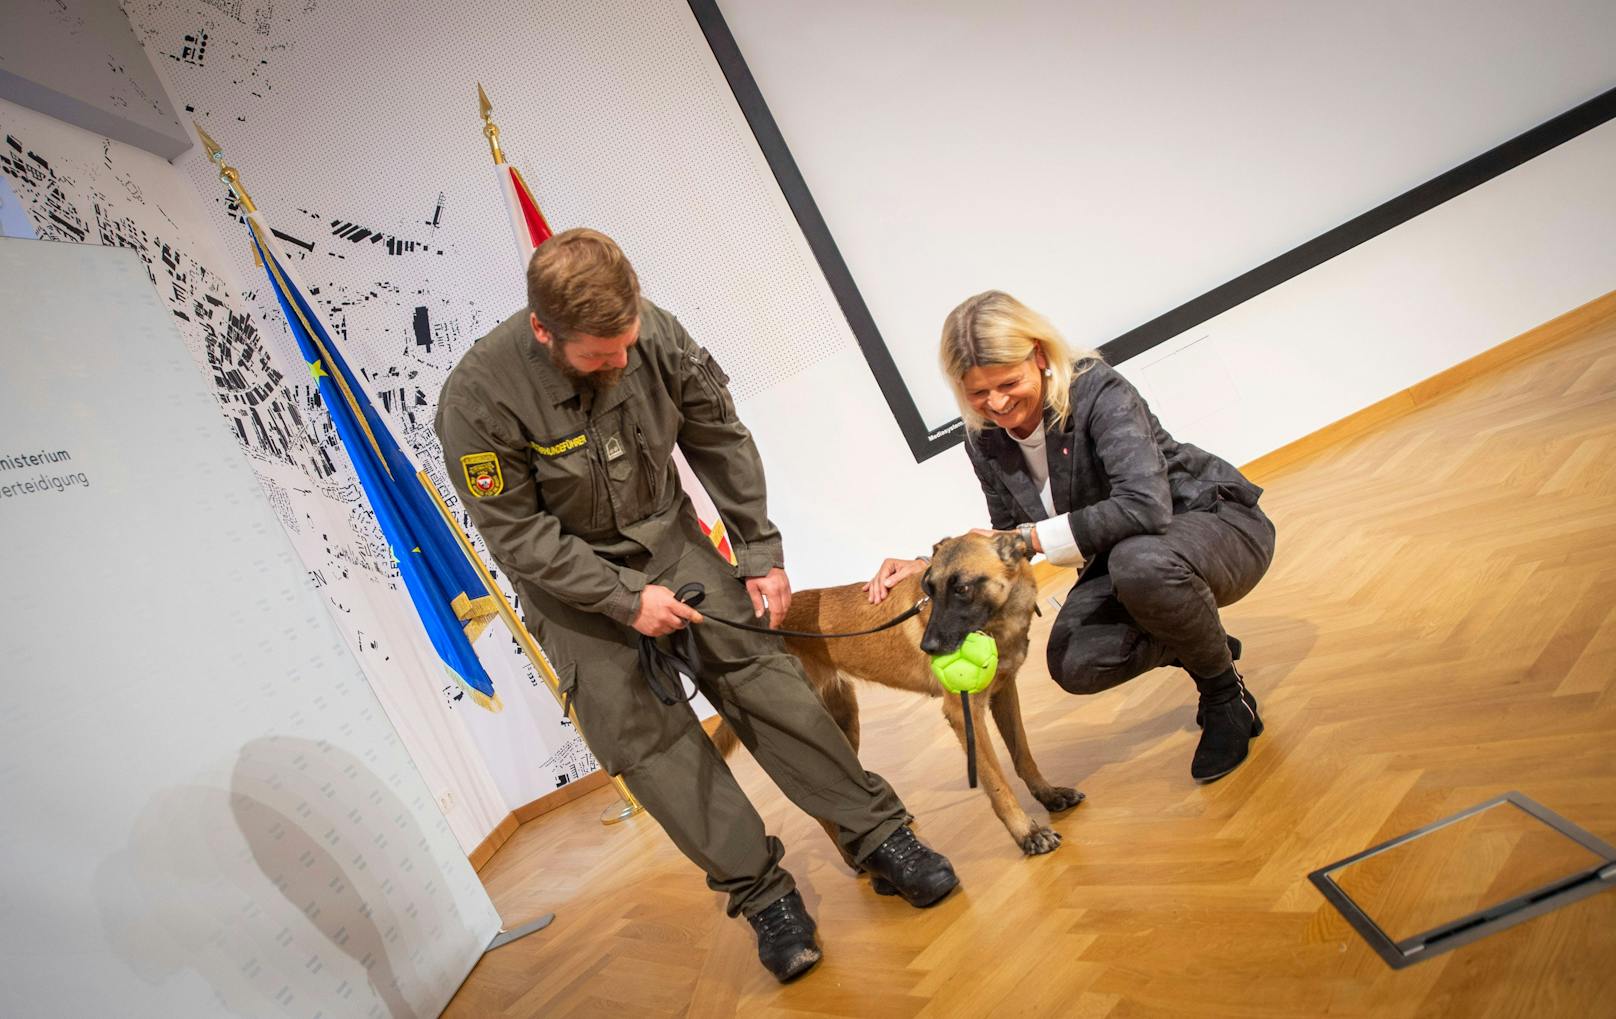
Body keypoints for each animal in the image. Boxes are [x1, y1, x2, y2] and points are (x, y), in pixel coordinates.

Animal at [714, 529, 1079, 859]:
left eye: (961, 589)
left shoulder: (1004, 694)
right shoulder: (964, 714)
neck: (1000, 619)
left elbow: (1023, 755)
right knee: (822, 807)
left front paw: (1048, 795)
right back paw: (856, 861)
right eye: (930, 589)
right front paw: (1027, 833)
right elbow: (997, 783)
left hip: (845, 724)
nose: (928, 648)